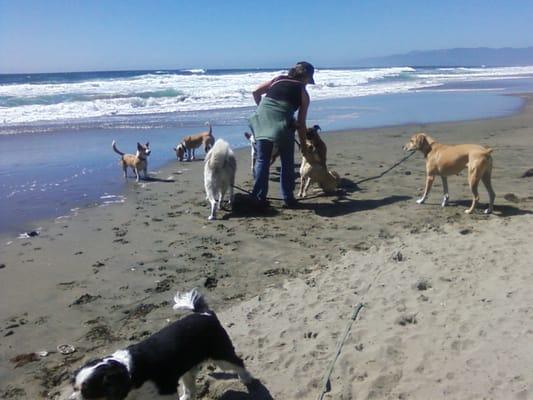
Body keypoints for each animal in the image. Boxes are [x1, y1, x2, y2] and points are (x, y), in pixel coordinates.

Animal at [69, 290, 252, 400]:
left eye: (87, 392)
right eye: (74, 388)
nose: (70, 399)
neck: (131, 373)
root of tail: (204, 313)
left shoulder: (166, 391)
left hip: (220, 355)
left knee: (237, 362)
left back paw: (246, 378)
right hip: (186, 365)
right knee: (190, 384)